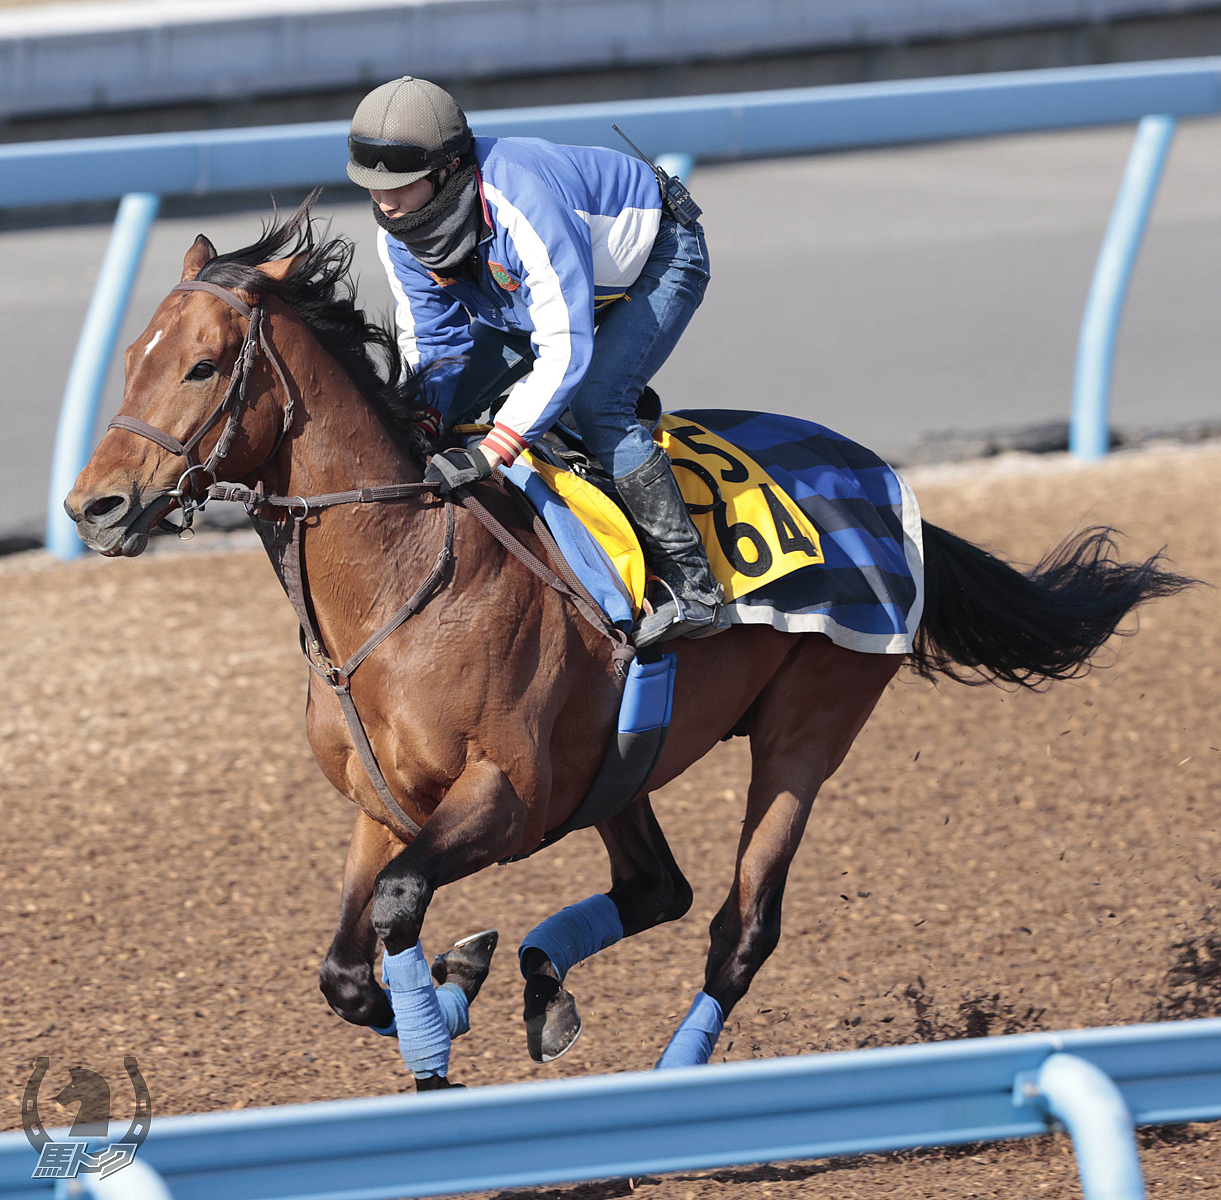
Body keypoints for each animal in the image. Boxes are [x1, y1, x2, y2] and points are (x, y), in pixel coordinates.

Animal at [61, 206, 1186, 1088]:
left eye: (202, 364)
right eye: (130, 360)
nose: (93, 506)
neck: (404, 573)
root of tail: (887, 480)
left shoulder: (508, 798)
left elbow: (398, 907)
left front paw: (446, 1009)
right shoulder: (384, 806)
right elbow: (350, 964)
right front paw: (456, 988)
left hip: (807, 728)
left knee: (739, 927)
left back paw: (669, 1076)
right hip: (622, 757)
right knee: (659, 888)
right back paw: (539, 980)